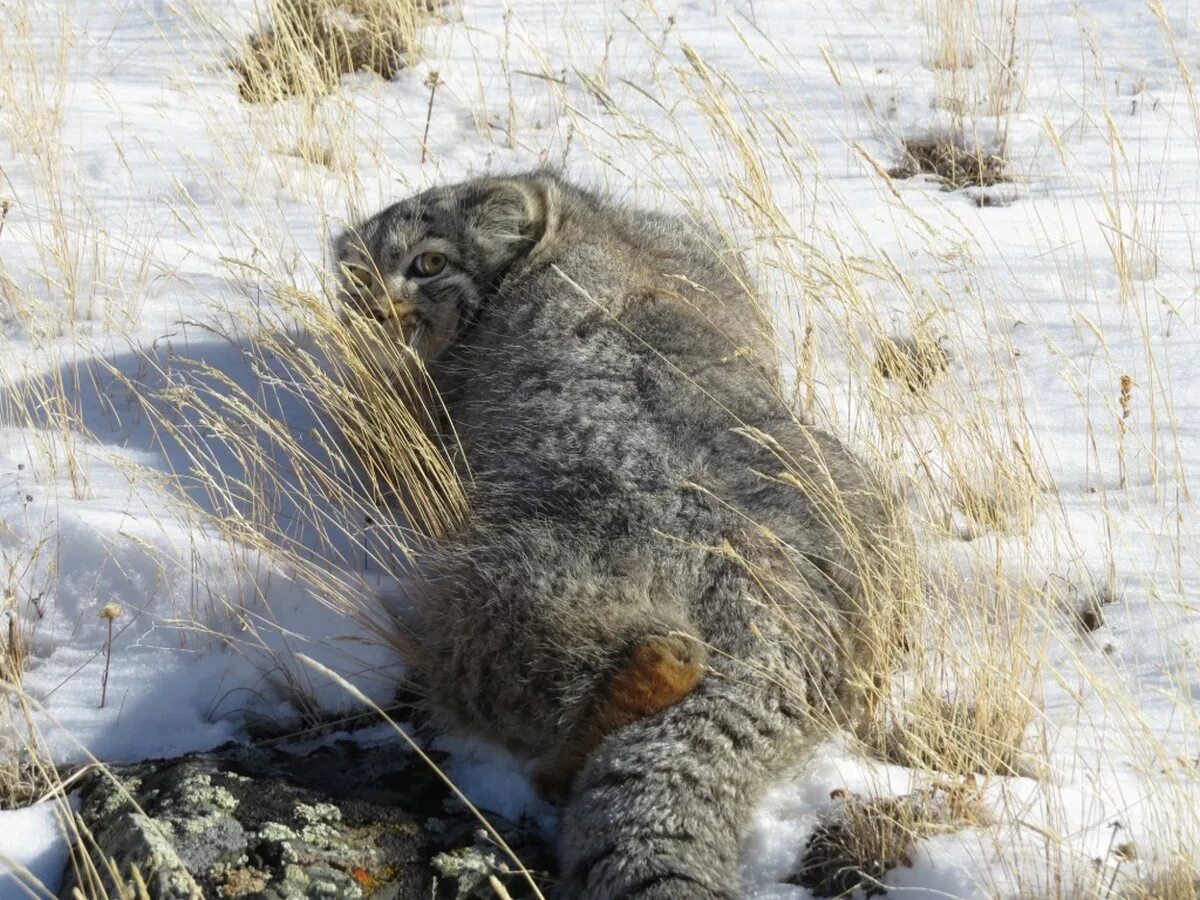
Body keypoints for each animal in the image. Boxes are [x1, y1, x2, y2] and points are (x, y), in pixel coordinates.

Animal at [333, 172, 902, 897]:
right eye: (357, 272)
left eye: (428, 264)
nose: (369, 309)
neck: (581, 218)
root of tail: (774, 623)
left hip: (513, 589)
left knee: (619, 660)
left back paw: (564, 760)